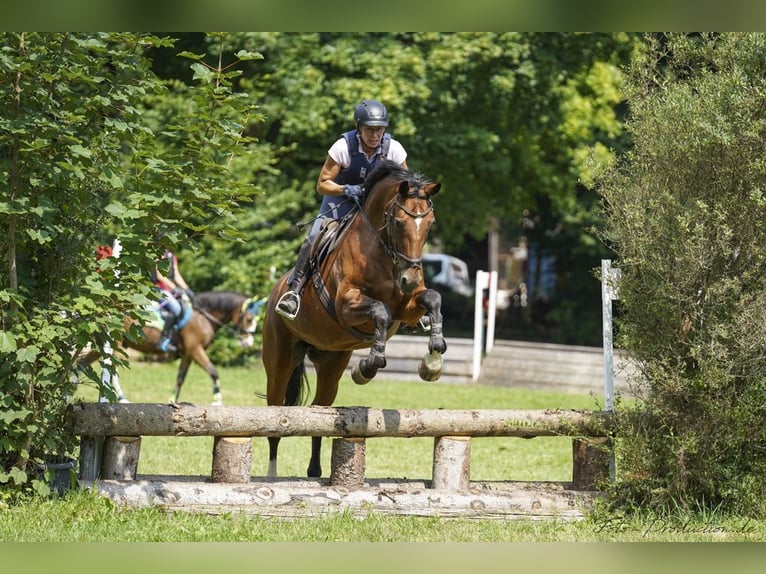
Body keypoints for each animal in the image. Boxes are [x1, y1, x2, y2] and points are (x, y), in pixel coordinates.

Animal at [78, 292, 264, 404]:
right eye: (249, 319)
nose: (248, 342)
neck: (202, 316)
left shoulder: (188, 354)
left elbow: (180, 378)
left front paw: (172, 401)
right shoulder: (196, 350)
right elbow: (213, 371)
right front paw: (217, 400)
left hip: (102, 347)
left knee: (83, 365)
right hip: (114, 346)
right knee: (112, 370)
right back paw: (122, 398)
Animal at [262, 160, 448, 480]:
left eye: (430, 224)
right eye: (399, 222)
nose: (410, 279)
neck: (384, 253)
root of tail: (275, 291)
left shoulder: (408, 307)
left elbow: (433, 299)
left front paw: (433, 360)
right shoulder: (346, 305)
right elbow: (380, 312)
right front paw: (368, 367)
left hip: (331, 363)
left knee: (320, 412)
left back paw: (315, 471)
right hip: (279, 360)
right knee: (276, 417)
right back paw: (272, 475)